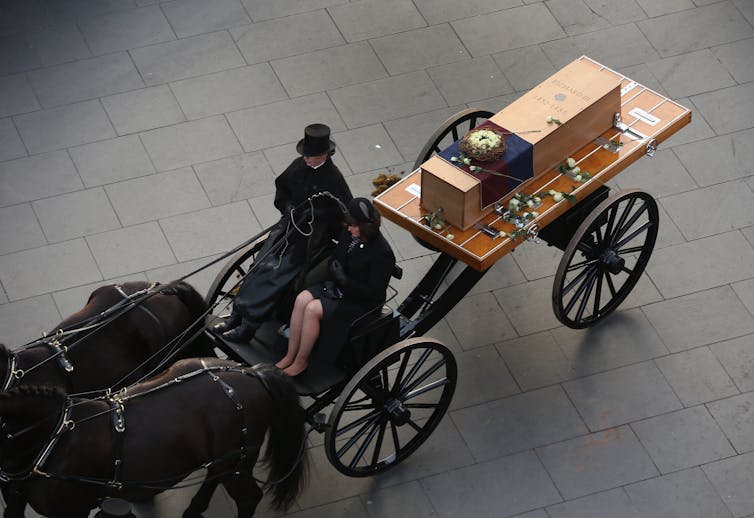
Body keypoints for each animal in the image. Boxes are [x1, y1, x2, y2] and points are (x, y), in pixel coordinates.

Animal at [0, 362, 308, 518]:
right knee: (214, 476)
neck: (52, 437)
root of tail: (253, 373)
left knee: (248, 498)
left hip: (238, 461)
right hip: (227, 460)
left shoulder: (70, 512)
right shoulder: (15, 500)